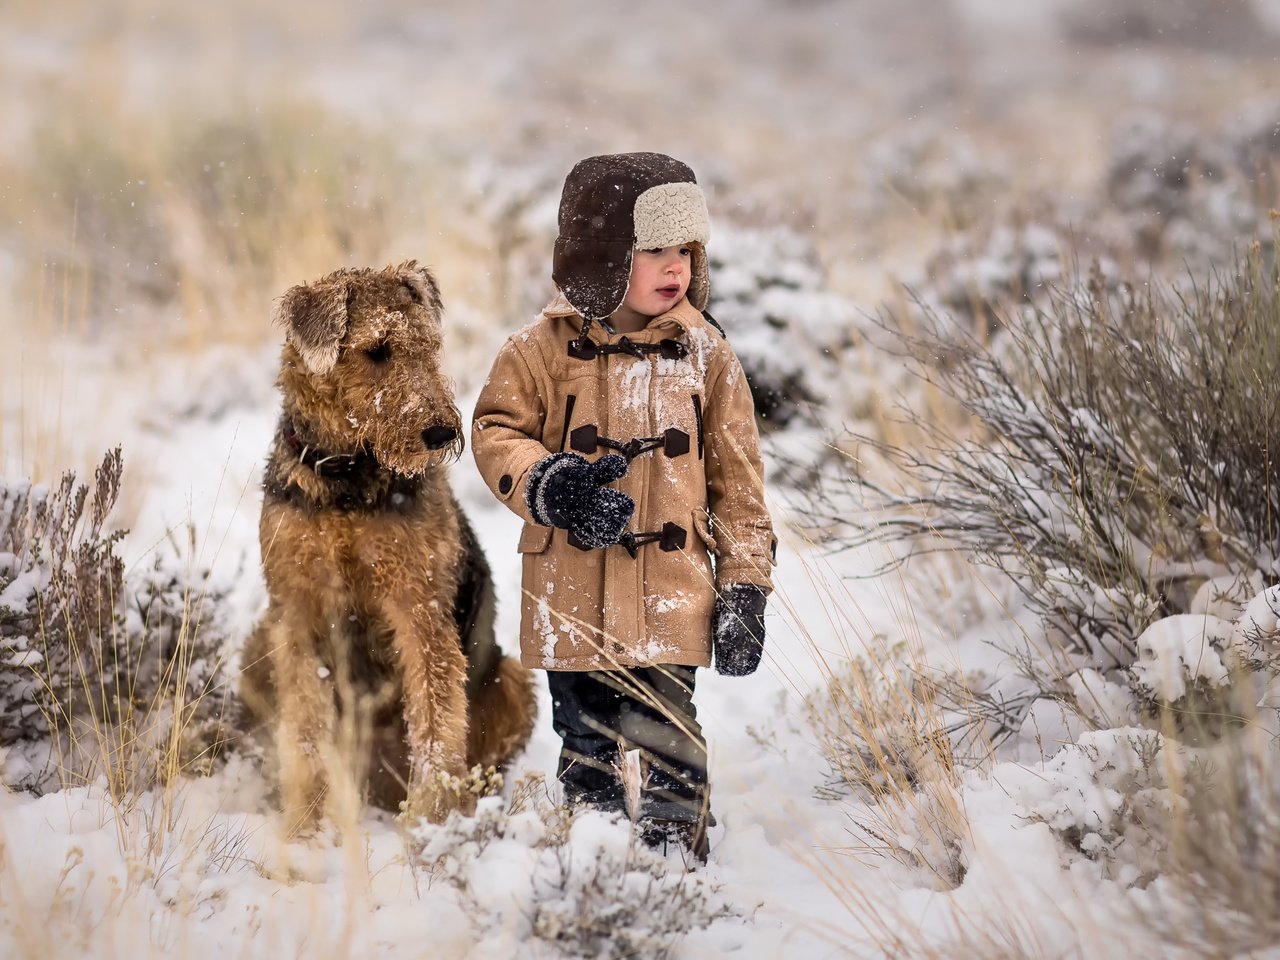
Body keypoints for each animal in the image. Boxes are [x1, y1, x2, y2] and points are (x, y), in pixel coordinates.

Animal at [240, 263, 535, 834]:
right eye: (377, 350)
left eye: (430, 346)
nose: (442, 431)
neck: (346, 478)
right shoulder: (297, 613)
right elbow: (305, 731)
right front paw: (304, 831)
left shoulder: (418, 609)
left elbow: (436, 729)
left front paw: (431, 824)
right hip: (257, 645)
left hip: (513, 680)